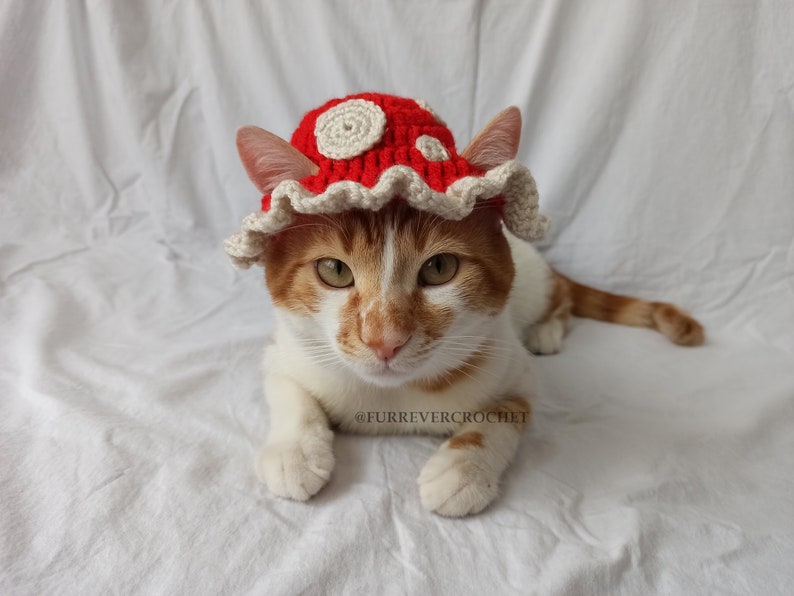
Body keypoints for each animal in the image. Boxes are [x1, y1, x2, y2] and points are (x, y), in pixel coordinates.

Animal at [227, 98, 700, 516]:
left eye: (439, 268)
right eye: (334, 270)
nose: (385, 341)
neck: (394, 396)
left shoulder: (516, 370)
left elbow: (505, 413)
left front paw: (460, 471)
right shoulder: (284, 352)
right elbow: (289, 393)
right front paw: (293, 453)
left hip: (536, 288)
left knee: (563, 299)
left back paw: (546, 330)